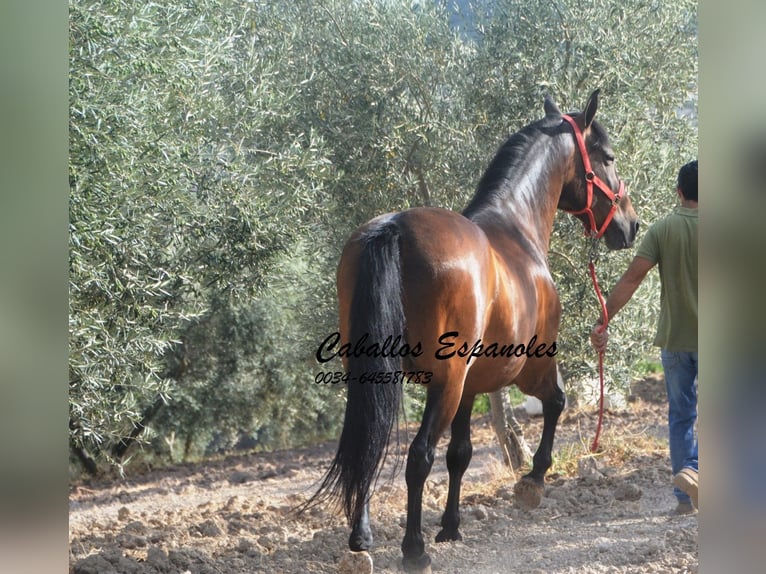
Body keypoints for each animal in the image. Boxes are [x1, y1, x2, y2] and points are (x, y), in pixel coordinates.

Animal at [308, 90, 639, 573]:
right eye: (608, 157)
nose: (631, 225)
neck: (516, 226)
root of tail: (393, 227)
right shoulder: (529, 367)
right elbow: (556, 403)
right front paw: (533, 480)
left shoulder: (470, 385)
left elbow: (460, 454)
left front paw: (451, 526)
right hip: (445, 383)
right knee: (418, 455)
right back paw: (413, 549)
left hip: (380, 376)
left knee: (370, 444)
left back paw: (362, 537)